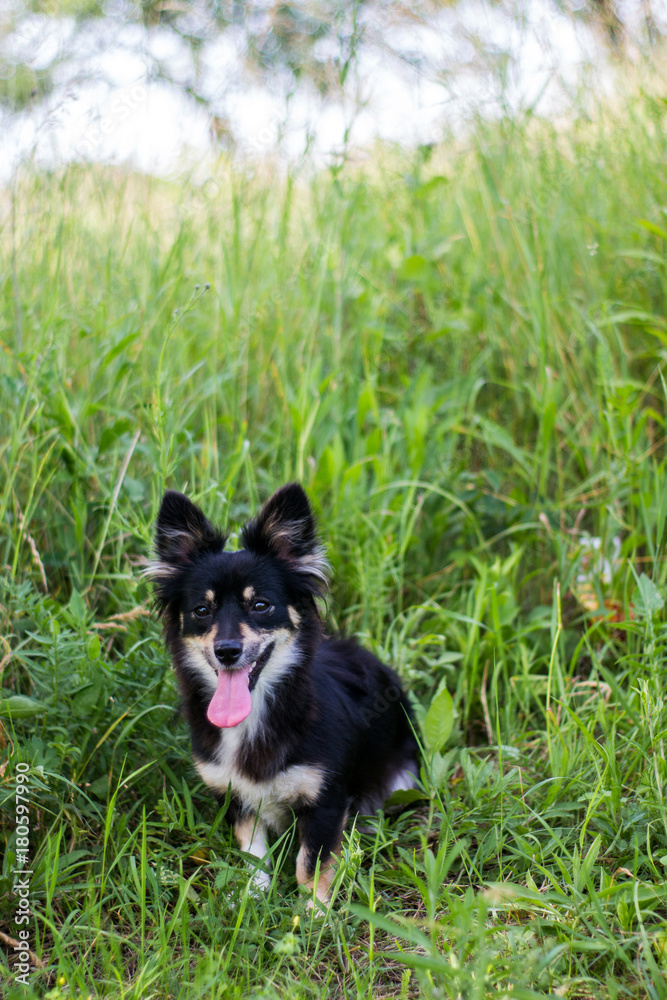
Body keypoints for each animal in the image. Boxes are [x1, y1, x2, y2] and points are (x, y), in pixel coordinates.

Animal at [150, 484, 418, 908]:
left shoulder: (326, 802)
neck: (258, 711)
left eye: (261, 605)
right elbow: (253, 852)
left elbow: (312, 864)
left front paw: (313, 913)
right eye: (202, 610)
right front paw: (253, 897)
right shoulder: (237, 797)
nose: (227, 651)